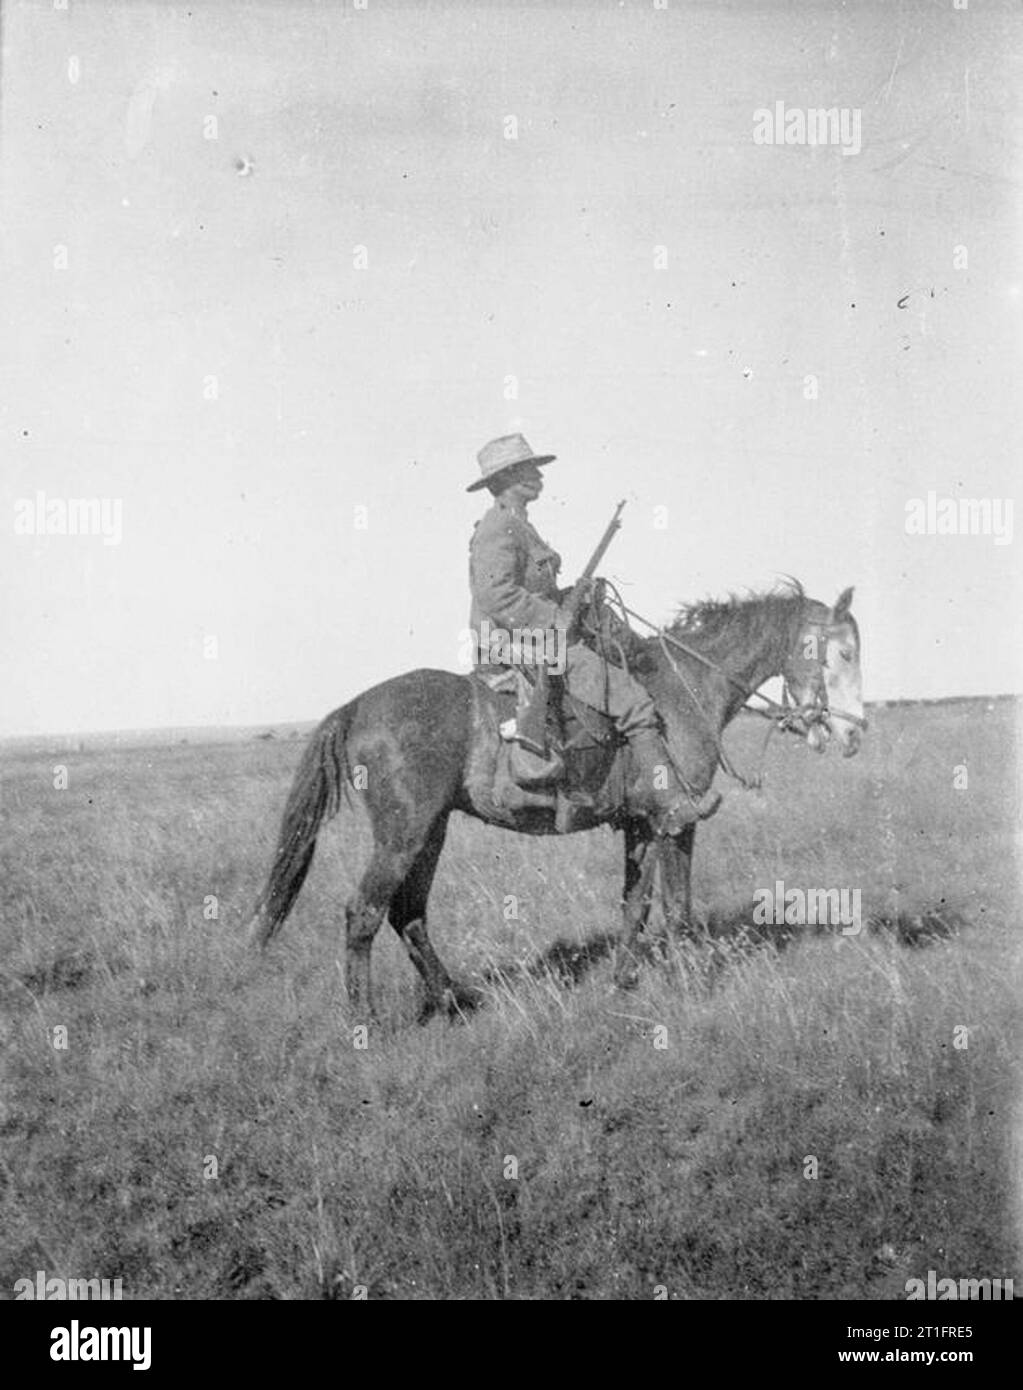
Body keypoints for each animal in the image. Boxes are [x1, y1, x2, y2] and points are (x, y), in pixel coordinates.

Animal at [246, 578, 861, 1023]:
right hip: (404, 835)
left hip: (430, 832)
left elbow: (635, 904)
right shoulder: (676, 823)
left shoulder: (640, 826)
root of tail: (354, 707)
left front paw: (623, 981)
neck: (683, 688)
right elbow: (678, 907)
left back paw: (454, 1000)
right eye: (846, 652)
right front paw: (691, 981)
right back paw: (366, 1023)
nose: (855, 733)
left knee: (408, 913)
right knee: (365, 913)